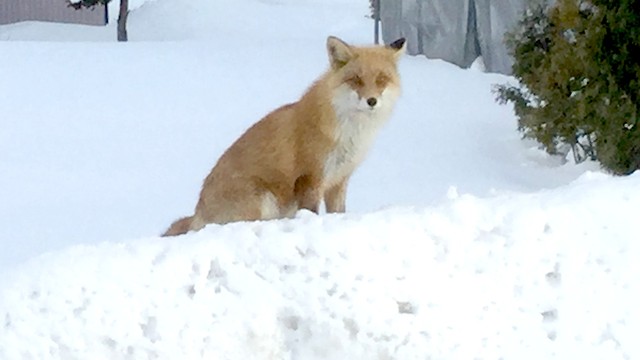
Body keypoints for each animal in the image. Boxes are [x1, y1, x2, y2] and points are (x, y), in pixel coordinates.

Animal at [165, 34, 404, 236]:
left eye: (381, 79)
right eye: (356, 80)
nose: (372, 101)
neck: (349, 133)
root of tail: (198, 215)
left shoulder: (339, 179)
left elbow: (339, 212)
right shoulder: (311, 177)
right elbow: (311, 212)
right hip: (264, 199)